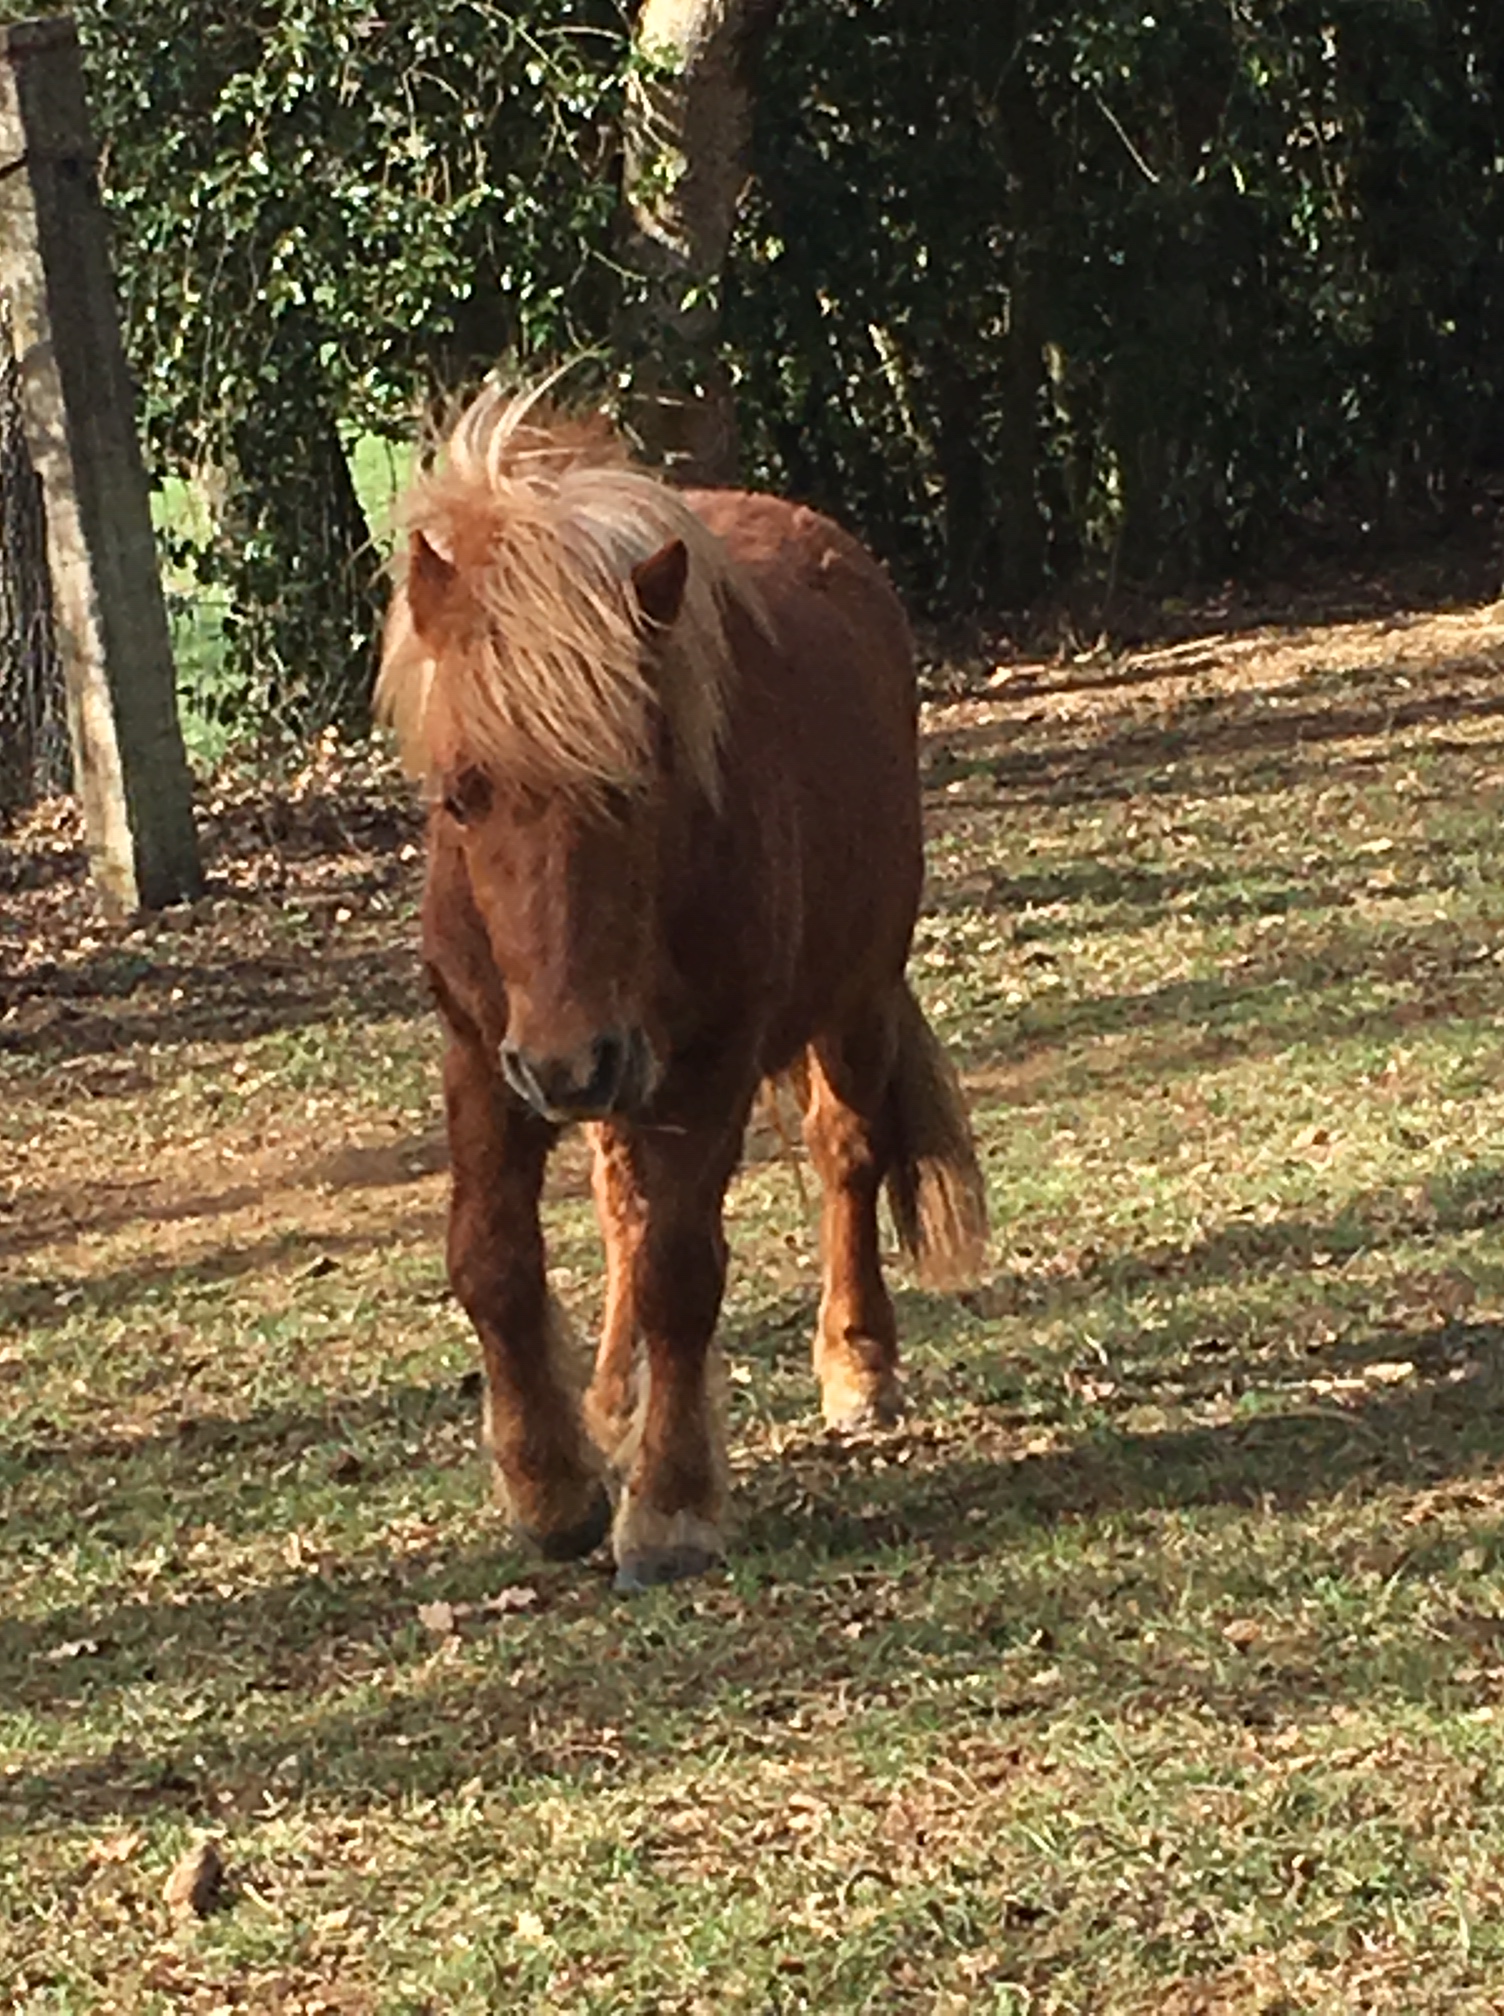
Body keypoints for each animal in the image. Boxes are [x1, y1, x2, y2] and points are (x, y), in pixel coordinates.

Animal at [377, 389, 983, 1588]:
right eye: (462, 794)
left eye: (635, 785)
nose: (567, 1062)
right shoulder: (483, 1052)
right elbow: (493, 1261)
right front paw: (552, 1487)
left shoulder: (707, 1060)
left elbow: (679, 1269)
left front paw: (667, 1508)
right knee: (620, 1197)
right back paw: (612, 1392)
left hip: (846, 1003)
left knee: (845, 1158)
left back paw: (858, 1365)